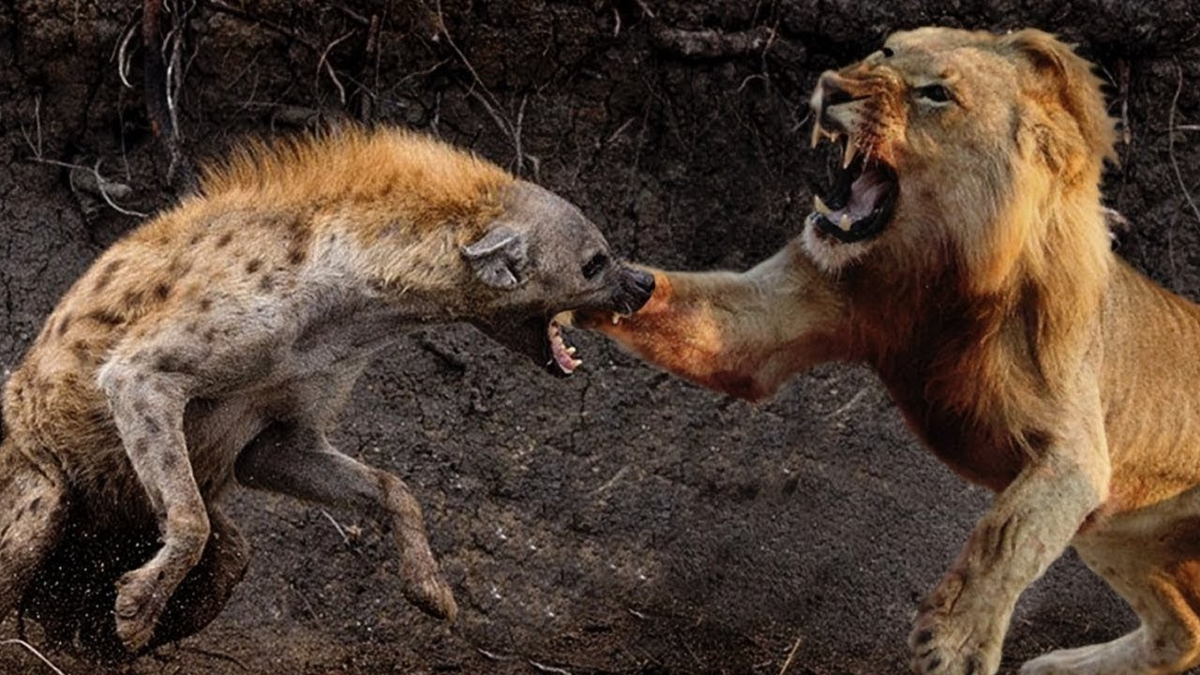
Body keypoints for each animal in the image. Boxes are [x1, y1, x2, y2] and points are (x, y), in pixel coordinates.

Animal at [573, 26, 1200, 672]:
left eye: (936, 93)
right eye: (885, 52)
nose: (832, 86)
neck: (933, 272)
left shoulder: (1076, 455)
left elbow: (1008, 534)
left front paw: (954, 643)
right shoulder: (770, 319)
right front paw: (574, 280)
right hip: (1114, 534)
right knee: (1181, 632)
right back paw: (1058, 664)